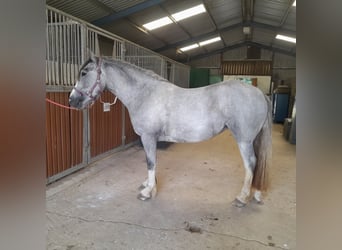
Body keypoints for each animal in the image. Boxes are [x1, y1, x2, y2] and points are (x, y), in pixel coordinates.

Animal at [70, 55, 272, 207]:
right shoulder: (150, 139)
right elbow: (152, 161)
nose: (72, 100)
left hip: (244, 140)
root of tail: (260, 93)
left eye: (84, 72)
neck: (145, 94)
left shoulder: (148, 137)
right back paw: (256, 194)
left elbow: (150, 162)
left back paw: (242, 198)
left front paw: (147, 191)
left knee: (251, 163)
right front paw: (150, 185)